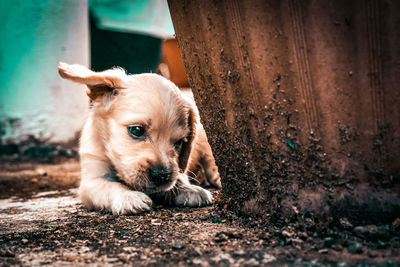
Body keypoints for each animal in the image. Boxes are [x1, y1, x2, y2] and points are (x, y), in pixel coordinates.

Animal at [57, 62, 220, 216]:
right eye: (136, 130)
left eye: (179, 143)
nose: (162, 176)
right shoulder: (91, 180)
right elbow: (110, 185)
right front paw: (128, 196)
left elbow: (178, 178)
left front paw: (189, 188)